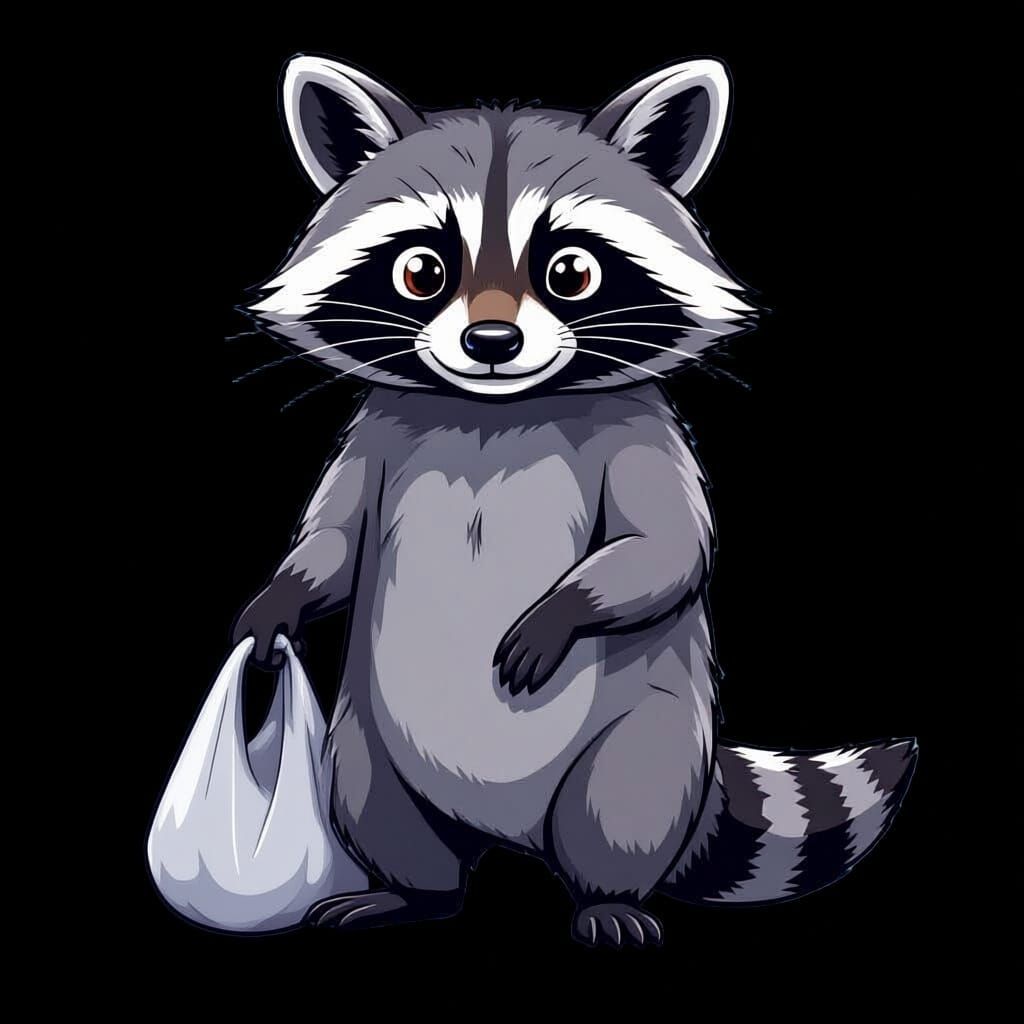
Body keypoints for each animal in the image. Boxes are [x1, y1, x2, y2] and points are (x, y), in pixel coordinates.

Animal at [233, 55, 917, 946]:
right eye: (422, 271)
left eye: (569, 273)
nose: (491, 343)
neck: (495, 409)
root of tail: (507, 835)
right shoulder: (374, 434)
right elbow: (336, 544)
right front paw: (279, 598)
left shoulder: (641, 432)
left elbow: (667, 547)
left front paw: (563, 609)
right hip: (368, 738)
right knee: (375, 796)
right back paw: (411, 893)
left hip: (649, 741)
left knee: (618, 810)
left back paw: (606, 899)